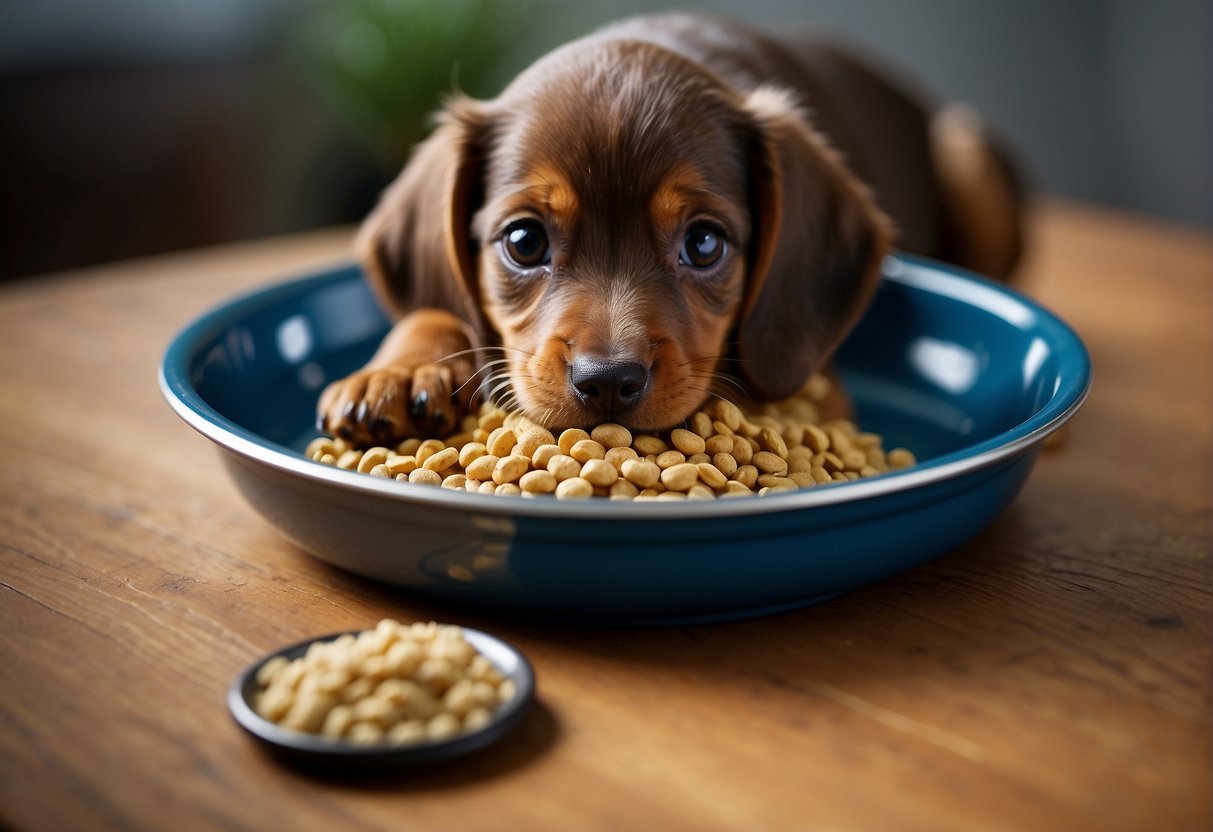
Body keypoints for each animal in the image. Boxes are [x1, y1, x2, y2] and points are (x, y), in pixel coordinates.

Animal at [317, 11, 1018, 443]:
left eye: (704, 243)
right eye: (524, 241)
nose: (607, 384)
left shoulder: (817, 393)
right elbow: (433, 310)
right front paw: (400, 372)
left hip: (966, 146)